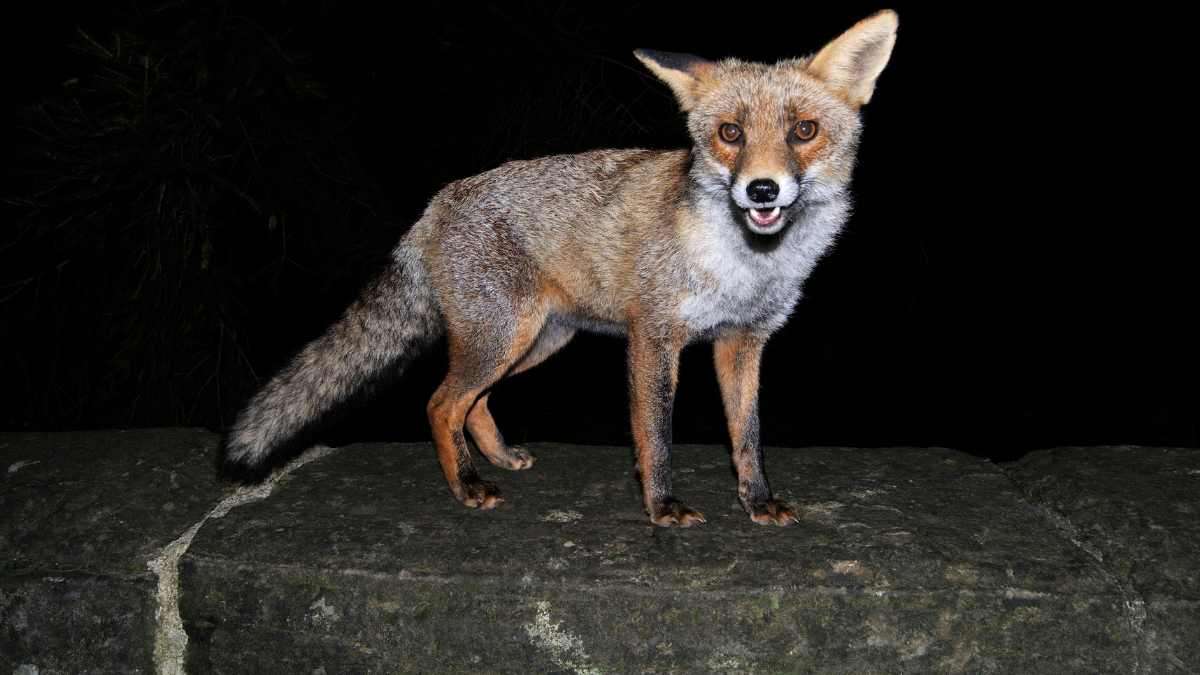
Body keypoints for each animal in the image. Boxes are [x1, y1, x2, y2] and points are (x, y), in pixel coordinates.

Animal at [223, 11, 899, 527]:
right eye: (730, 133)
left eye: (804, 130)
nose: (762, 190)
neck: (746, 266)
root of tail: (437, 204)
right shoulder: (654, 336)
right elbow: (655, 435)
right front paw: (662, 507)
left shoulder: (742, 342)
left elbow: (748, 437)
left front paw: (757, 501)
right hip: (505, 336)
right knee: (441, 402)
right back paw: (468, 487)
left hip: (540, 341)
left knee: (474, 403)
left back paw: (498, 459)